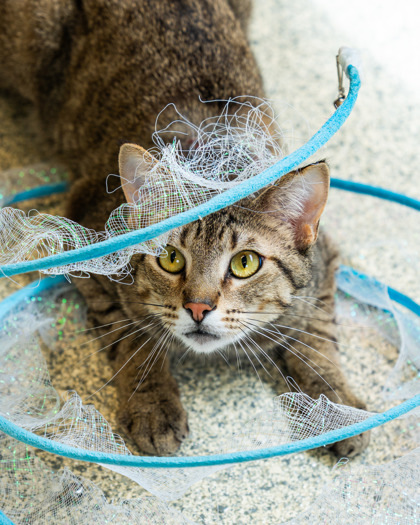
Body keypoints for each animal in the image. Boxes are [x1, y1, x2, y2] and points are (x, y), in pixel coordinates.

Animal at [0, 1, 370, 454]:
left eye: (245, 263)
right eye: (171, 259)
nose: (198, 308)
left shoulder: (326, 259)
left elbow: (317, 335)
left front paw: (336, 406)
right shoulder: (85, 251)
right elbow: (135, 336)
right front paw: (153, 405)